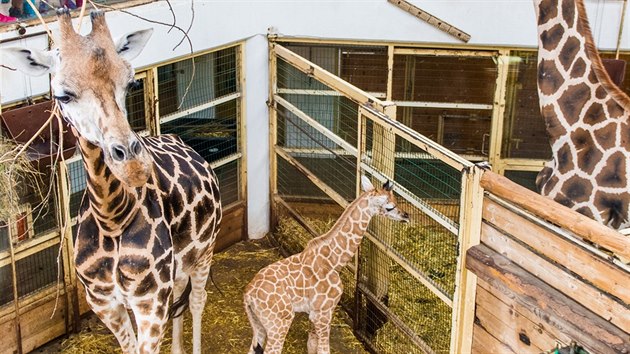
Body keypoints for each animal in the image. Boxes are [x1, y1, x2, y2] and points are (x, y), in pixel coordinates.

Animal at [2, 9, 223, 352]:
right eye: (62, 95)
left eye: (130, 84)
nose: (132, 164)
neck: (113, 218)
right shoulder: (104, 302)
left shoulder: (149, 300)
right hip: (178, 266)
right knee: (180, 298)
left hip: (205, 250)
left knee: (197, 301)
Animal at [242, 177, 410, 354]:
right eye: (390, 206)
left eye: (396, 200)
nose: (406, 215)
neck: (334, 261)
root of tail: (248, 296)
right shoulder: (324, 313)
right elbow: (323, 349)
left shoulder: (314, 313)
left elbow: (311, 344)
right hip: (279, 322)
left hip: (258, 324)